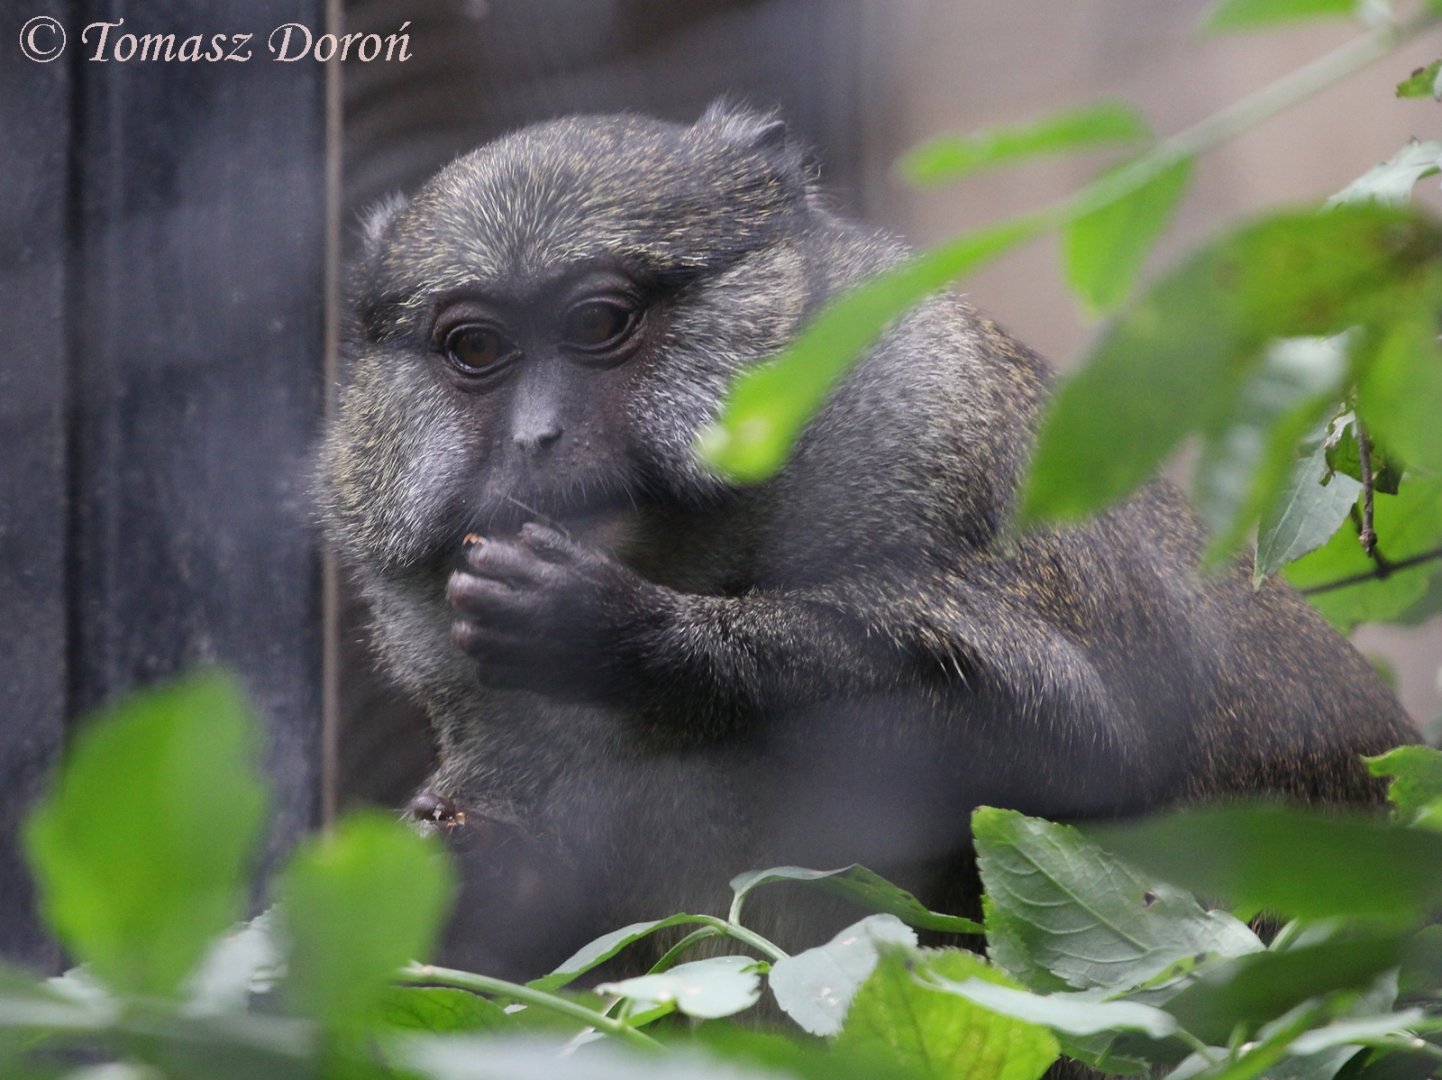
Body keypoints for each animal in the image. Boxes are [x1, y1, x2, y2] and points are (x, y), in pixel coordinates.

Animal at [319, 103, 1418, 980]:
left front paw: (620, 635)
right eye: (475, 348)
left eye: (598, 322)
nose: (536, 437)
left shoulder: (929, 424)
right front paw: (483, 875)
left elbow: (1076, 740)